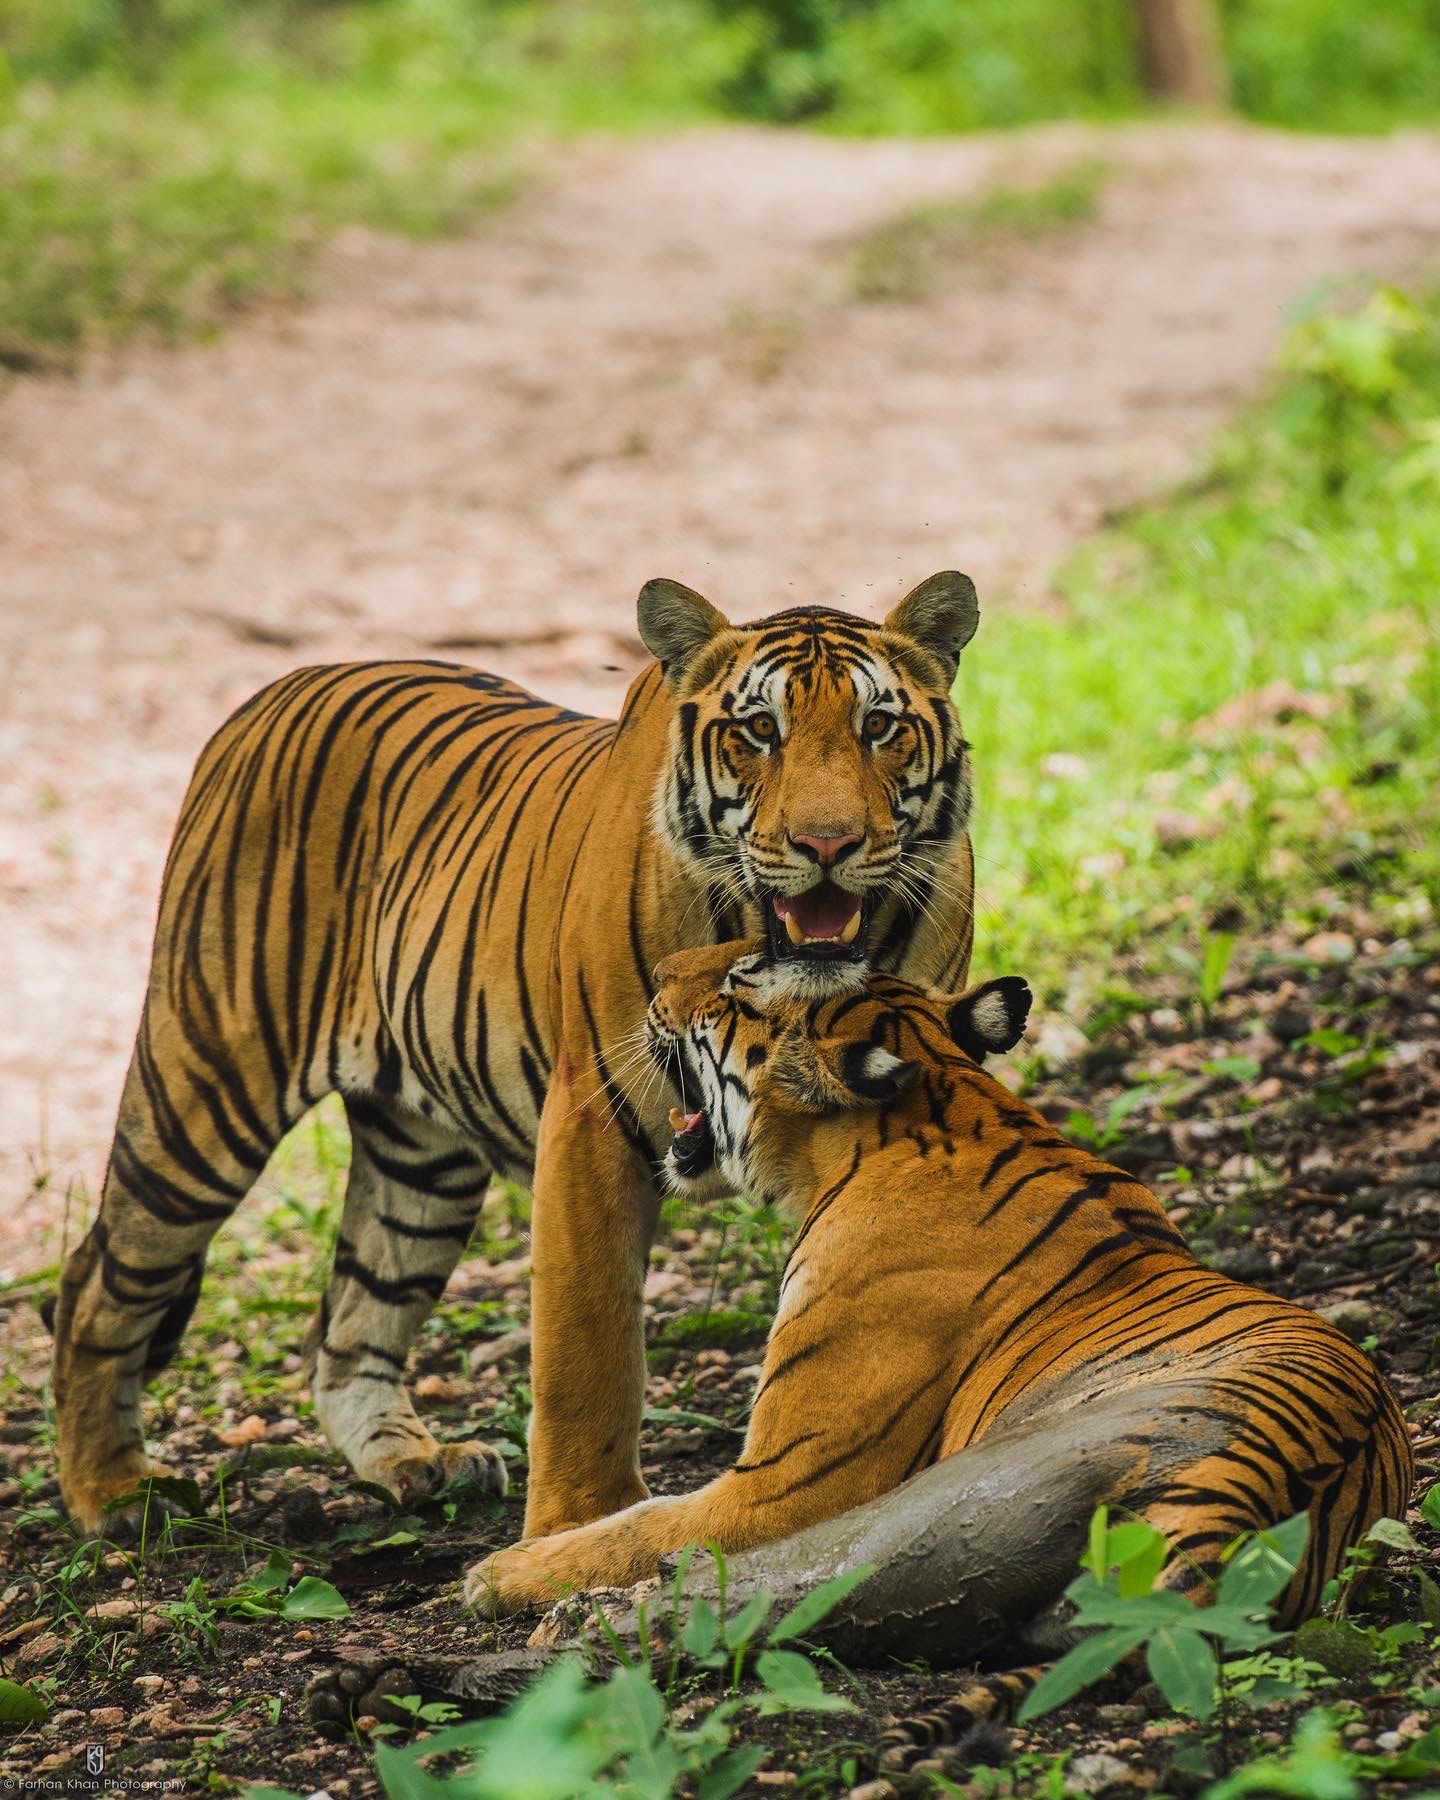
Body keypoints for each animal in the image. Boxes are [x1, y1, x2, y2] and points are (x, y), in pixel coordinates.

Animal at [49, 572, 984, 1540]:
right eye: (760, 729)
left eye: (880, 726)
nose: (827, 844)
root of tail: (275, 691)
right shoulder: (591, 1120)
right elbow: (585, 1351)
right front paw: (583, 1521)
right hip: (204, 1089)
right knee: (94, 1280)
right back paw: (112, 1492)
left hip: (420, 1161)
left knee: (348, 1323)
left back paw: (413, 1462)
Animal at [471, 938, 1414, 1757]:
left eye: (739, 981)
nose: (658, 974)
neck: (943, 1102)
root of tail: (1251, 1494)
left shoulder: (784, 1479)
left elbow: (640, 1524)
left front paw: (504, 1569)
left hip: (941, 1506)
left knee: (770, 1588)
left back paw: (565, 1621)